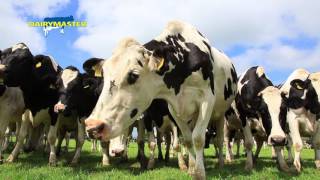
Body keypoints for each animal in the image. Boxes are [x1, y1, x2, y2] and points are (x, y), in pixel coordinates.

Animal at [84, 20, 236, 179]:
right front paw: (191, 169)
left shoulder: (206, 100)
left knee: (219, 140)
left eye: (133, 75)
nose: (92, 126)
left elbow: (198, 139)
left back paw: (221, 163)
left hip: (220, 114)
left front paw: (199, 173)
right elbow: (188, 140)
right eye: (104, 74)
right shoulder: (175, 111)